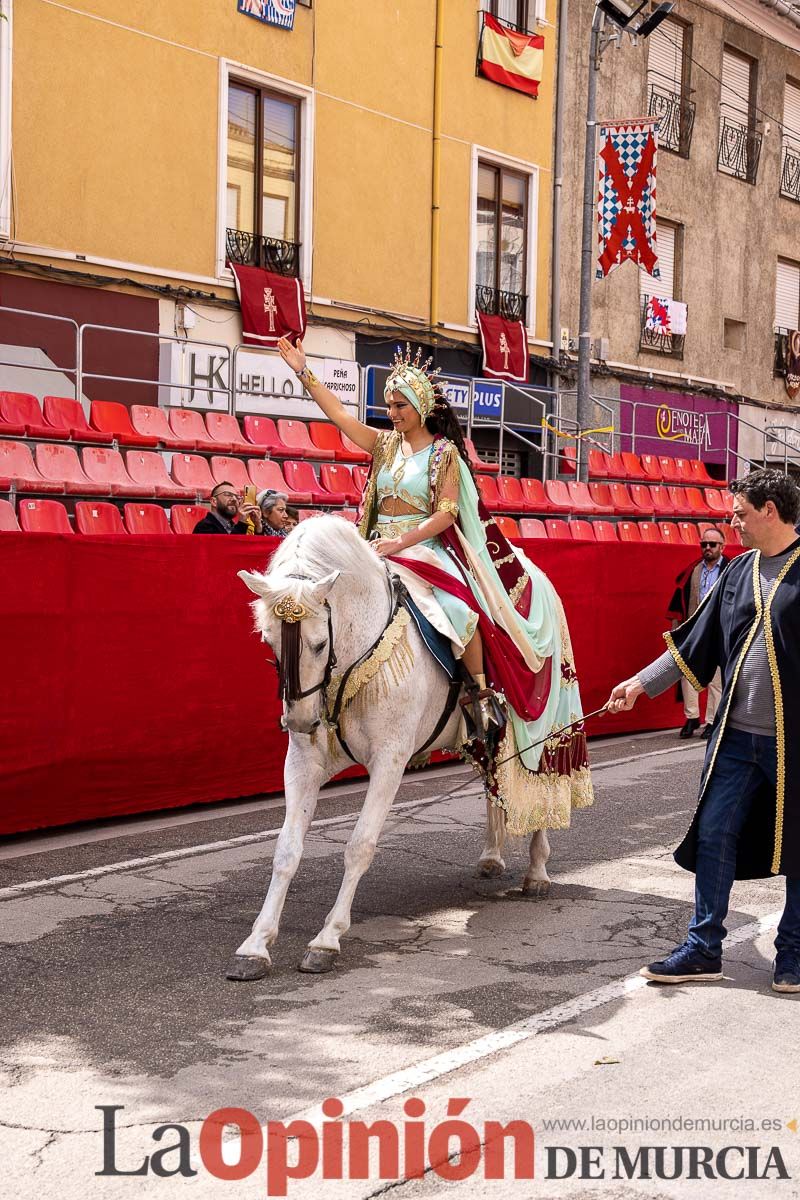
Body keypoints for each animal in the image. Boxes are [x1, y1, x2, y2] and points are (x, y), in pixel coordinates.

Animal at [225, 511, 551, 979]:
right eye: (268, 640)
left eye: (318, 644)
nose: (300, 721)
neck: (356, 651)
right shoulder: (304, 761)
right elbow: (286, 849)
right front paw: (255, 945)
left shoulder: (389, 761)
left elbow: (359, 845)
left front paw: (327, 939)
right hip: (487, 741)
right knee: (495, 786)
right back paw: (491, 856)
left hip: (541, 727)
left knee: (542, 787)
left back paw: (538, 871)